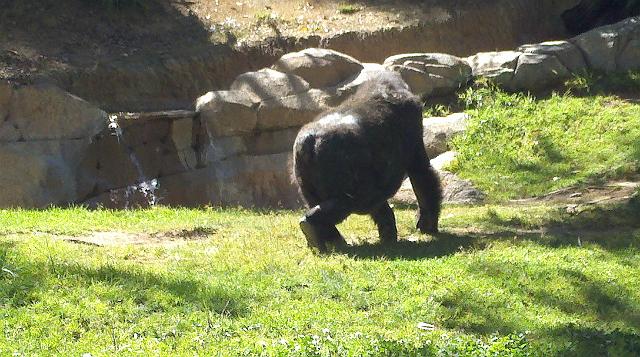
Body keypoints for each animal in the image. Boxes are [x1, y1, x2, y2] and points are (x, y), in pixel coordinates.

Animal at [292, 71, 442, 252]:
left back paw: (324, 236)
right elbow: (421, 173)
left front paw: (389, 232)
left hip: (301, 165)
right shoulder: (411, 122)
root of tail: (310, 140)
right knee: (351, 201)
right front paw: (428, 224)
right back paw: (314, 226)